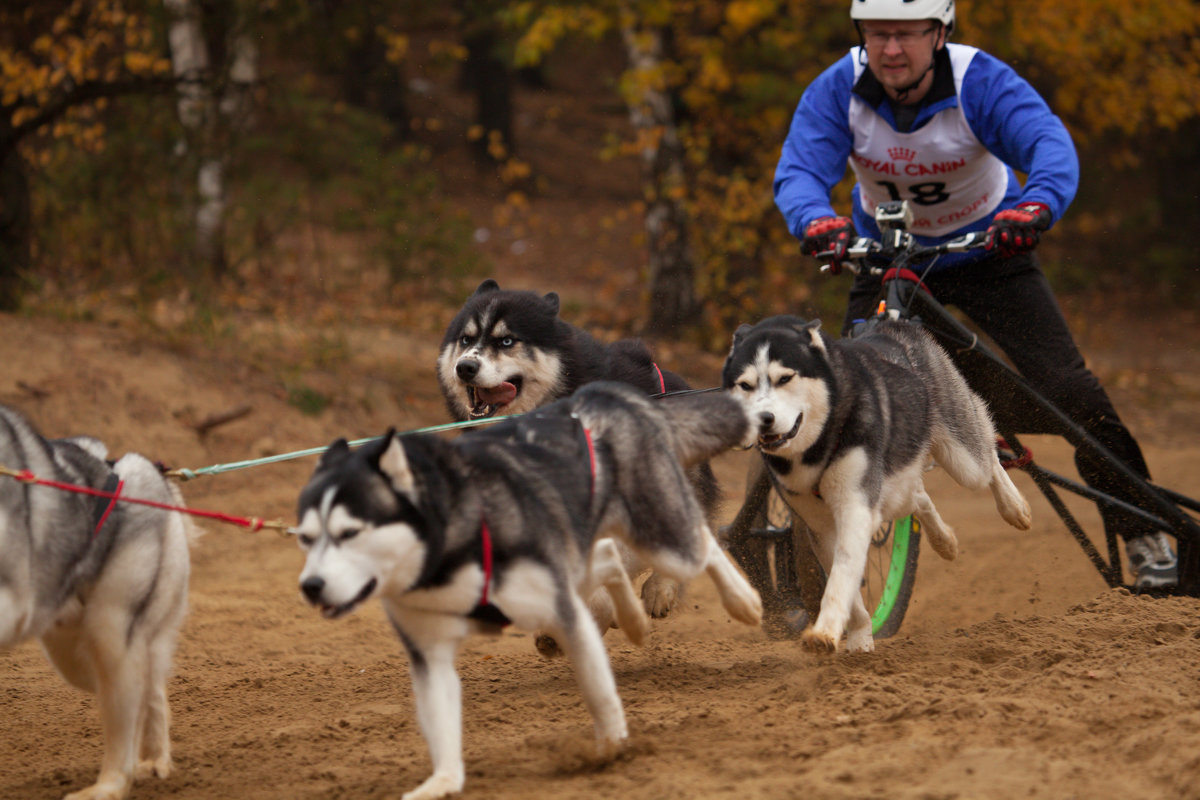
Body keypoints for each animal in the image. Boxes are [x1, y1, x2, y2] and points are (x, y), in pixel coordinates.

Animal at [0, 407, 190, 800]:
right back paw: (151, 761)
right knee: (149, 686)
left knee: (130, 710)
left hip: (112, 629)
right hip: (68, 650)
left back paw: (114, 782)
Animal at [292, 381, 758, 800]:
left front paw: (611, 748)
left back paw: (742, 602)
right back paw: (634, 622)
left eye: (350, 532)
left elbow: (599, 691)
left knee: (701, 540)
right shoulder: (429, 650)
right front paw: (441, 782)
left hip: (658, 535)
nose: (311, 587)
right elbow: (441, 723)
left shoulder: (563, 603)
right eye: (305, 537)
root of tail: (609, 394)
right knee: (612, 558)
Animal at [720, 316, 1032, 652]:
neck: (820, 447)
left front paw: (826, 632)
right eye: (745, 385)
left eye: (785, 378)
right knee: (919, 496)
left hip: (963, 459)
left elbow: (843, 574)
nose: (763, 419)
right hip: (896, 488)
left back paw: (1014, 507)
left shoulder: (855, 506)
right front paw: (858, 637)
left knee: (989, 458)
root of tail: (891, 325)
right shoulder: (819, 524)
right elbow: (849, 589)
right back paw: (944, 540)